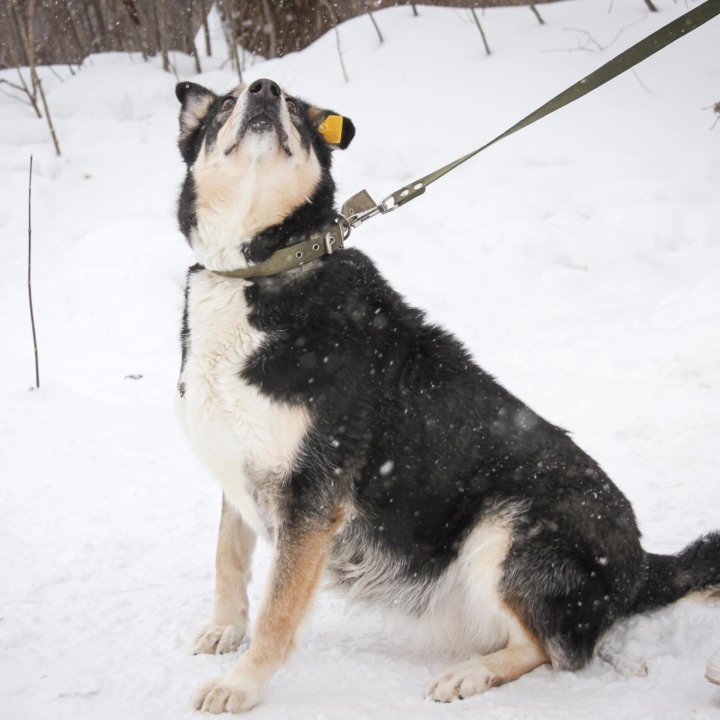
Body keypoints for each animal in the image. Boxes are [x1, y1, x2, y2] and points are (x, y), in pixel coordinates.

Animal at [174, 76, 720, 712]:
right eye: (227, 103)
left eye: (294, 108)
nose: (265, 88)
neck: (261, 271)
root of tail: (638, 567)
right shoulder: (238, 468)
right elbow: (228, 557)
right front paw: (224, 629)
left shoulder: (313, 493)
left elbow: (278, 612)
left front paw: (241, 683)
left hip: (507, 530)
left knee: (554, 651)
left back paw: (471, 674)